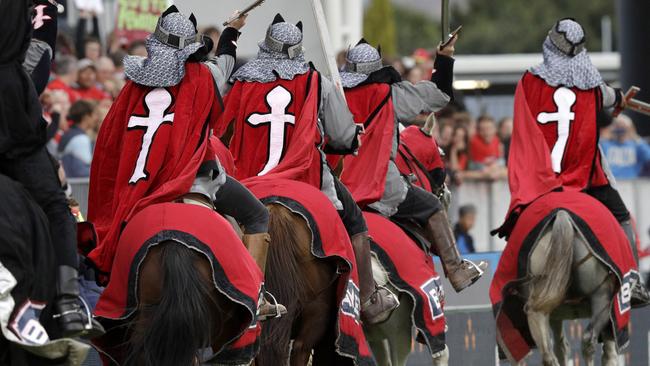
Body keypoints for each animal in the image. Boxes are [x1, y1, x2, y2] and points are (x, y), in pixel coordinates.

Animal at [520, 209, 616, 366]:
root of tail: (562, 215)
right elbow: (610, 353)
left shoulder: (555, 315)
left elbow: (561, 347)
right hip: (601, 298)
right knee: (589, 341)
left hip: (540, 305)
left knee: (549, 353)